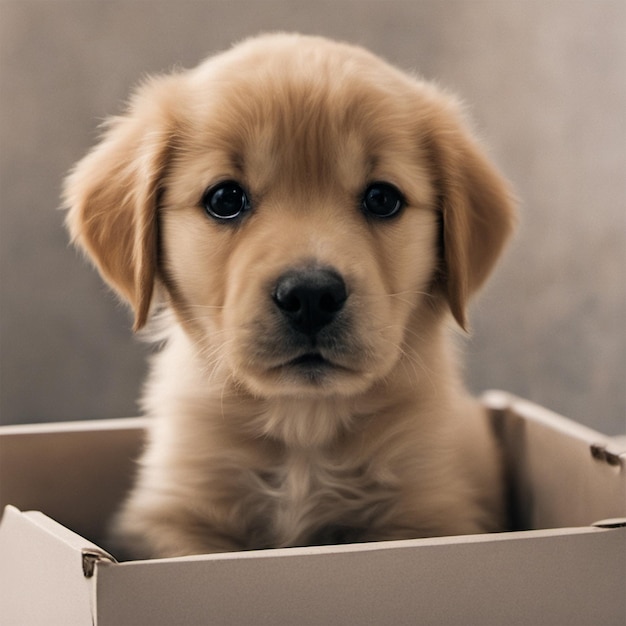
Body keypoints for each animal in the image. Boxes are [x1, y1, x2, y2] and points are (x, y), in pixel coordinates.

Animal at [63, 33, 516, 556]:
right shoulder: (173, 519)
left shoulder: (429, 515)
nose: (311, 295)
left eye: (382, 199)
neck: (303, 425)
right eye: (224, 199)